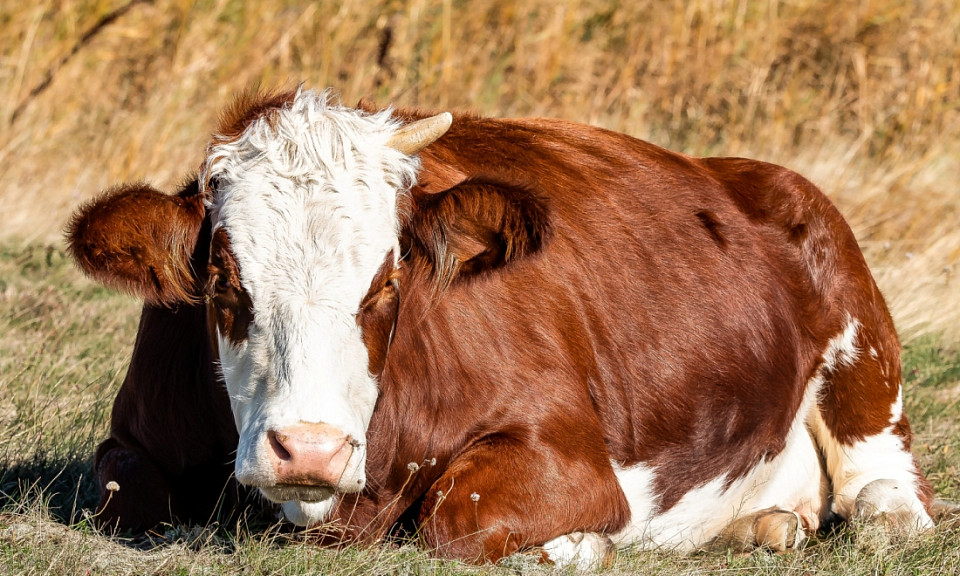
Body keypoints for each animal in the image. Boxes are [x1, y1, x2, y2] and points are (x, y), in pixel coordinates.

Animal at [69, 88, 936, 564]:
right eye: (224, 279)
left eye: (389, 282)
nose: (308, 449)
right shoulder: (134, 436)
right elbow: (121, 495)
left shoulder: (570, 456)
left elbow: (459, 514)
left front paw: (579, 545)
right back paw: (763, 527)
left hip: (861, 350)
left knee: (886, 495)